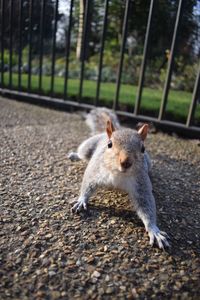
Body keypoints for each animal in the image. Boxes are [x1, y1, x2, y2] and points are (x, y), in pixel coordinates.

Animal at [68, 109, 170, 250]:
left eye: (143, 148)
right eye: (109, 144)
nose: (126, 162)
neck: (119, 174)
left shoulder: (141, 183)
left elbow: (146, 205)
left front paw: (154, 230)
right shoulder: (96, 170)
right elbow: (87, 184)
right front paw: (81, 201)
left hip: (148, 163)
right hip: (88, 146)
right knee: (82, 153)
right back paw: (74, 155)